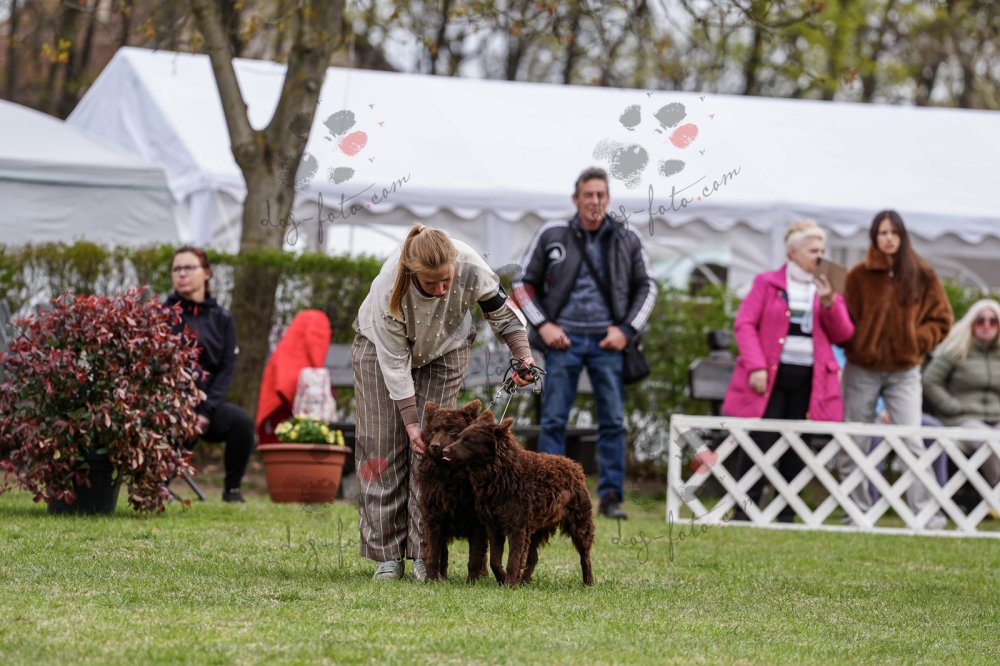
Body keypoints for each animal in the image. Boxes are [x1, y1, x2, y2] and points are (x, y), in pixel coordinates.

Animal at [418, 400, 504, 583]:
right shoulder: (433, 517)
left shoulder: (477, 523)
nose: (434, 446)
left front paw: (473, 581)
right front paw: (431, 580)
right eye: (434, 430)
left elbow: (475, 556)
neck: (451, 475)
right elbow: (433, 553)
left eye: (453, 431)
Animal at [443, 410, 595, 587]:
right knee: (533, 558)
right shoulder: (494, 526)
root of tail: (575, 466)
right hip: (537, 528)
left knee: (585, 556)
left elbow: (513, 560)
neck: (502, 473)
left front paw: (509, 584)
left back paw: (589, 582)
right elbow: (495, 561)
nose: (444, 451)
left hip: (580, 522)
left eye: (469, 441)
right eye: (458, 437)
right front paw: (504, 580)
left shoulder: (517, 527)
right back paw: (524, 581)